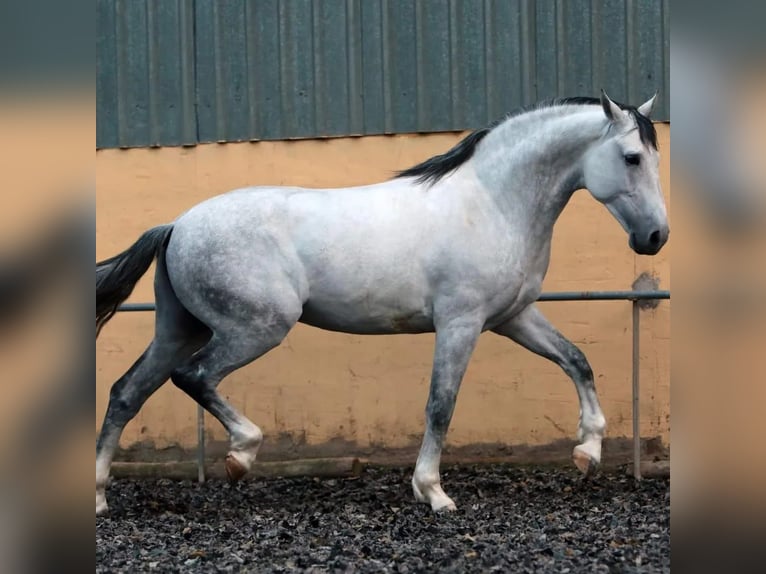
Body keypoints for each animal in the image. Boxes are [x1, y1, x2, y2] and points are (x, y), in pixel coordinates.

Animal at [97, 91, 672, 516]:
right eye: (631, 157)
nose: (655, 237)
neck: (493, 203)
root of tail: (176, 225)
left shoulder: (513, 317)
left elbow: (577, 360)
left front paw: (587, 451)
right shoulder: (460, 323)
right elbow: (441, 404)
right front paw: (433, 492)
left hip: (180, 328)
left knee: (127, 392)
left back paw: (102, 497)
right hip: (255, 328)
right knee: (193, 377)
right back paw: (241, 454)